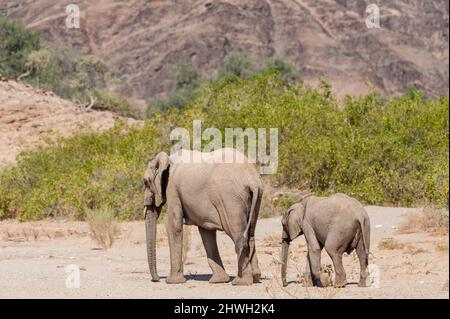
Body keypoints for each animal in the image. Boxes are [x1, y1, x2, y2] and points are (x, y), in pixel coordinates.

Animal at [143, 149, 264, 286]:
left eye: (146, 182)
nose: (156, 279)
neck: (168, 158)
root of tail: (252, 179)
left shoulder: (173, 188)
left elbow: (173, 225)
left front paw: (172, 282)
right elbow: (206, 230)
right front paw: (219, 280)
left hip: (231, 199)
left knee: (237, 234)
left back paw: (241, 282)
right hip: (255, 198)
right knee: (250, 234)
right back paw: (256, 278)